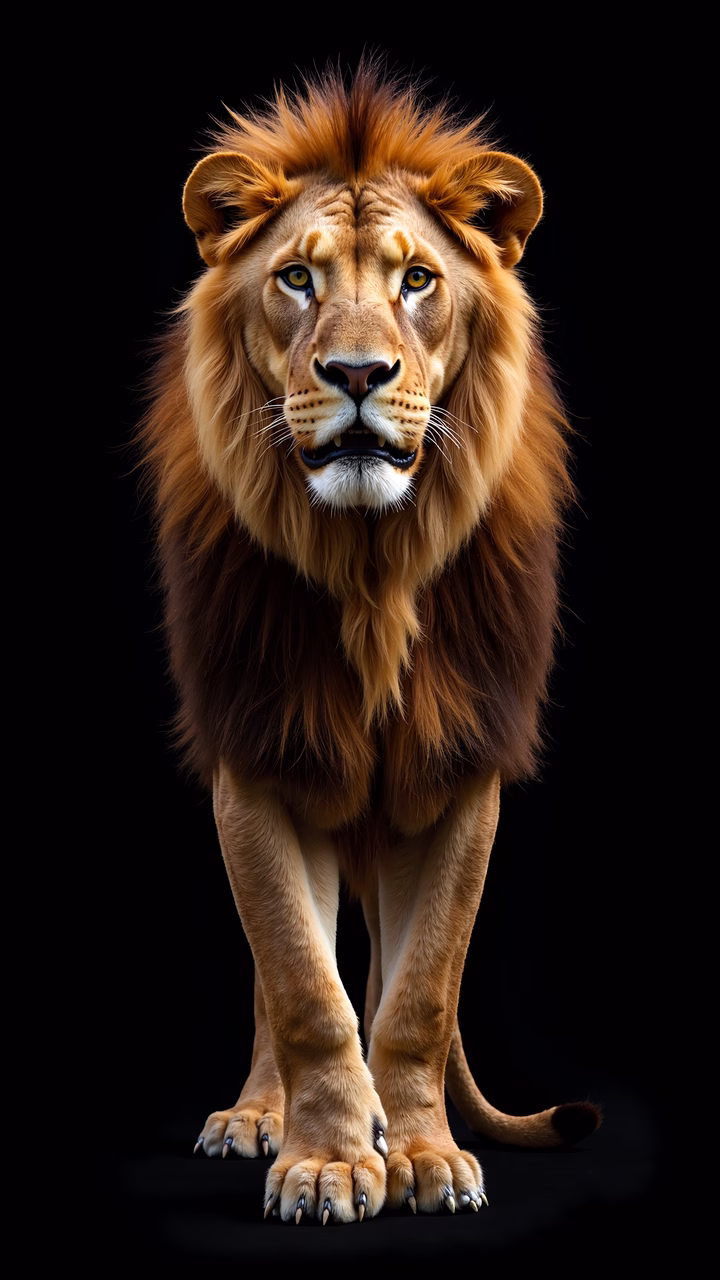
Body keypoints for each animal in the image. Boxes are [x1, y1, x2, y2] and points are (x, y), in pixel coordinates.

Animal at [142, 63, 600, 1225]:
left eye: (419, 279)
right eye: (298, 278)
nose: (355, 372)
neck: (370, 566)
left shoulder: (464, 765)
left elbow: (419, 993)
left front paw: (424, 1155)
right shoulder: (254, 757)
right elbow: (305, 986)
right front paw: (328, 1161)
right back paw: (259, 1115)